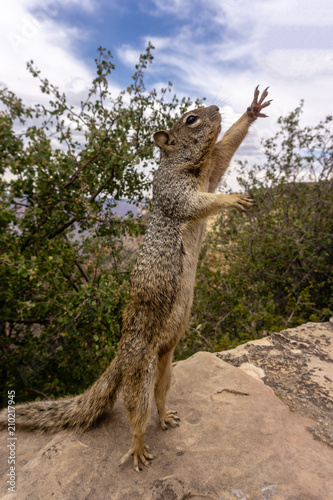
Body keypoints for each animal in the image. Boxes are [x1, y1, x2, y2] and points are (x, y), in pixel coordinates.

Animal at [0, 86, 270, 472]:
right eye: (191, 119)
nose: (217, 107)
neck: (188, 165)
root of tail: (121, 354)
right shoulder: (176, 192)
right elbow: (196, 204)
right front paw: (233, 198)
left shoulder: (213, 168)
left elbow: (226, 147)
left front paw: (252, 109)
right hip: (139, 372)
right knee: (135, 412)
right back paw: (139, 448)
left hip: (166, 362)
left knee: (159, 397)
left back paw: (166, 416)